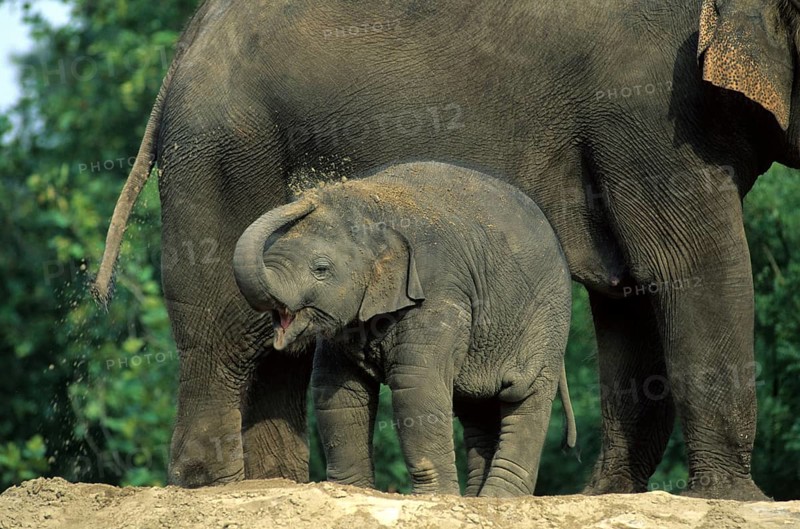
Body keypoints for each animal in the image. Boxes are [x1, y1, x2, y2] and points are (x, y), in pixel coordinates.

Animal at [232, 162, 577, 496]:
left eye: (320, 269)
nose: (312, 192)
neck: (372, 207)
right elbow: (337, 386)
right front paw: (350, 489)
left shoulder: (439, 289)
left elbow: (416, 382)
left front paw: (436, 497)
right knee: (476, 407)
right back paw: (476, 497)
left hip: (548, 317)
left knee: (525, 396)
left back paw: (498, 498)